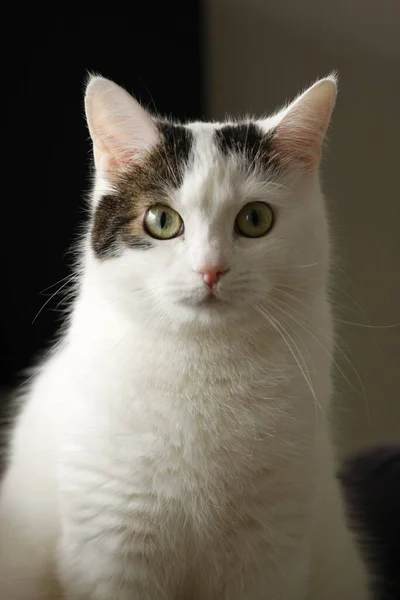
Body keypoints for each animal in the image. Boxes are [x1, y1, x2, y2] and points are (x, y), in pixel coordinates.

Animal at [0, 75, 368, 600]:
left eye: (255, 219)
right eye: (161, 221)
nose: (210, 269)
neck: (205, 367)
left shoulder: (270, 548)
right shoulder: (111, 546)